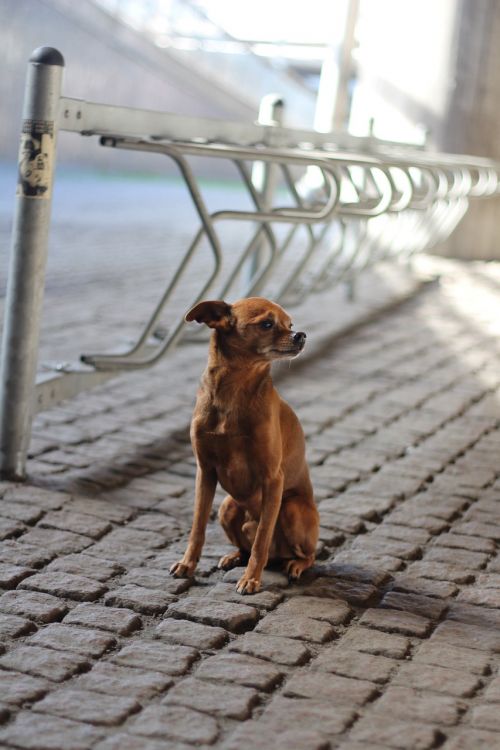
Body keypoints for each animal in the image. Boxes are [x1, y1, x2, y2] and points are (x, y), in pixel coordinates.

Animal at [170, 296, 318, 596]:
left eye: (290, 324)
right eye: (267, 324)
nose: (301, 334)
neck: (234, 390)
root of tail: (279, 557)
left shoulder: (273, 478)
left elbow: (262, 538)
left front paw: (251, 579)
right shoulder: (205, 472)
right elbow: (197, 527)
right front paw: (187, 564)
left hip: (292, 509)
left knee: (306, 554)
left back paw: (294, 565)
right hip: (227, 507)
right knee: (246, 546)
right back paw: (234, 556)